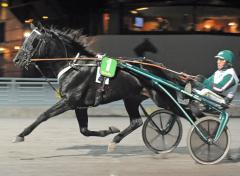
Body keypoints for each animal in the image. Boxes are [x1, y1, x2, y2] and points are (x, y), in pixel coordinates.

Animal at [12, 22, 189, 151]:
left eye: (33, 41)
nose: (16, 59)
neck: (73, 65)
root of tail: (159, 67)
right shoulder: (80, 105)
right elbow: (84, 130)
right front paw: (110, 130)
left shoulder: (69, 101)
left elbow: (44, 115)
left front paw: (21, 135)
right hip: (131, 98)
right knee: (136, 122)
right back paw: (116, 140)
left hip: (162, 98)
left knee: (187, 112)